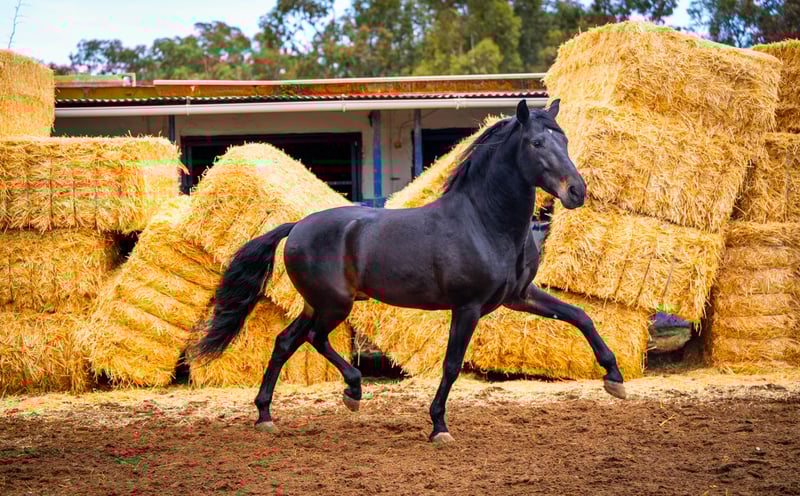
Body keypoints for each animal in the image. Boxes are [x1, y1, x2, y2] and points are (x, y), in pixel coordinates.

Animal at [193, 99, 626, 444]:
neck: (485, 222)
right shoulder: (467, 307)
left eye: (564, 141)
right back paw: (352, 391)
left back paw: (265, 415)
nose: (577, 192)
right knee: (315, 339)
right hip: (335, 306)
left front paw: (615, 379)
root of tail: (297, 226)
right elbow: (451, 365)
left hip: (316, 304)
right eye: (537, 143)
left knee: (284, 342)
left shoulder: (519, 297)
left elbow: (580, 316)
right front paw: (439, 427)